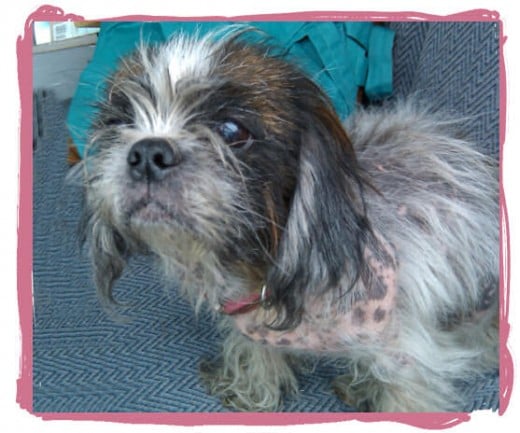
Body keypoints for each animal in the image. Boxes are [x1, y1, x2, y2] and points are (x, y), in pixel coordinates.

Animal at [78, 27, 500, 412]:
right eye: (119, 122)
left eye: (231, 130)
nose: (148, 153)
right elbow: (254, 351)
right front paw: (252, 389)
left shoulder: (407, 358)